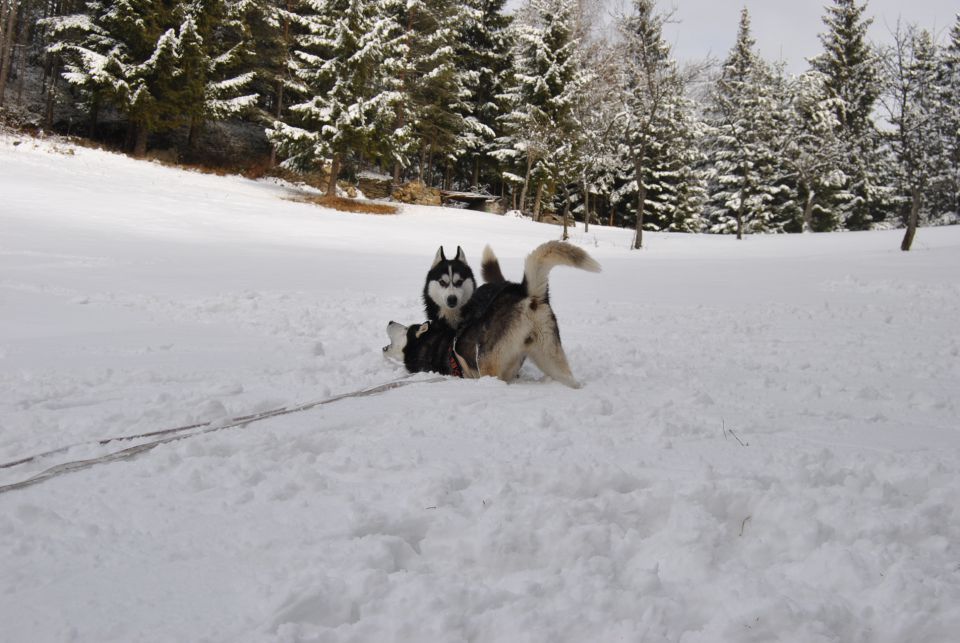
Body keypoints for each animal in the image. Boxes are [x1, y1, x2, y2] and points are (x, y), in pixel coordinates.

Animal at [384, 242, 600, 388]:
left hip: (488, 365)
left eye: (407, 328)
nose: (390, 320)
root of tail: (524, 292)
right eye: (443, 282)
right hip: (549, 356)